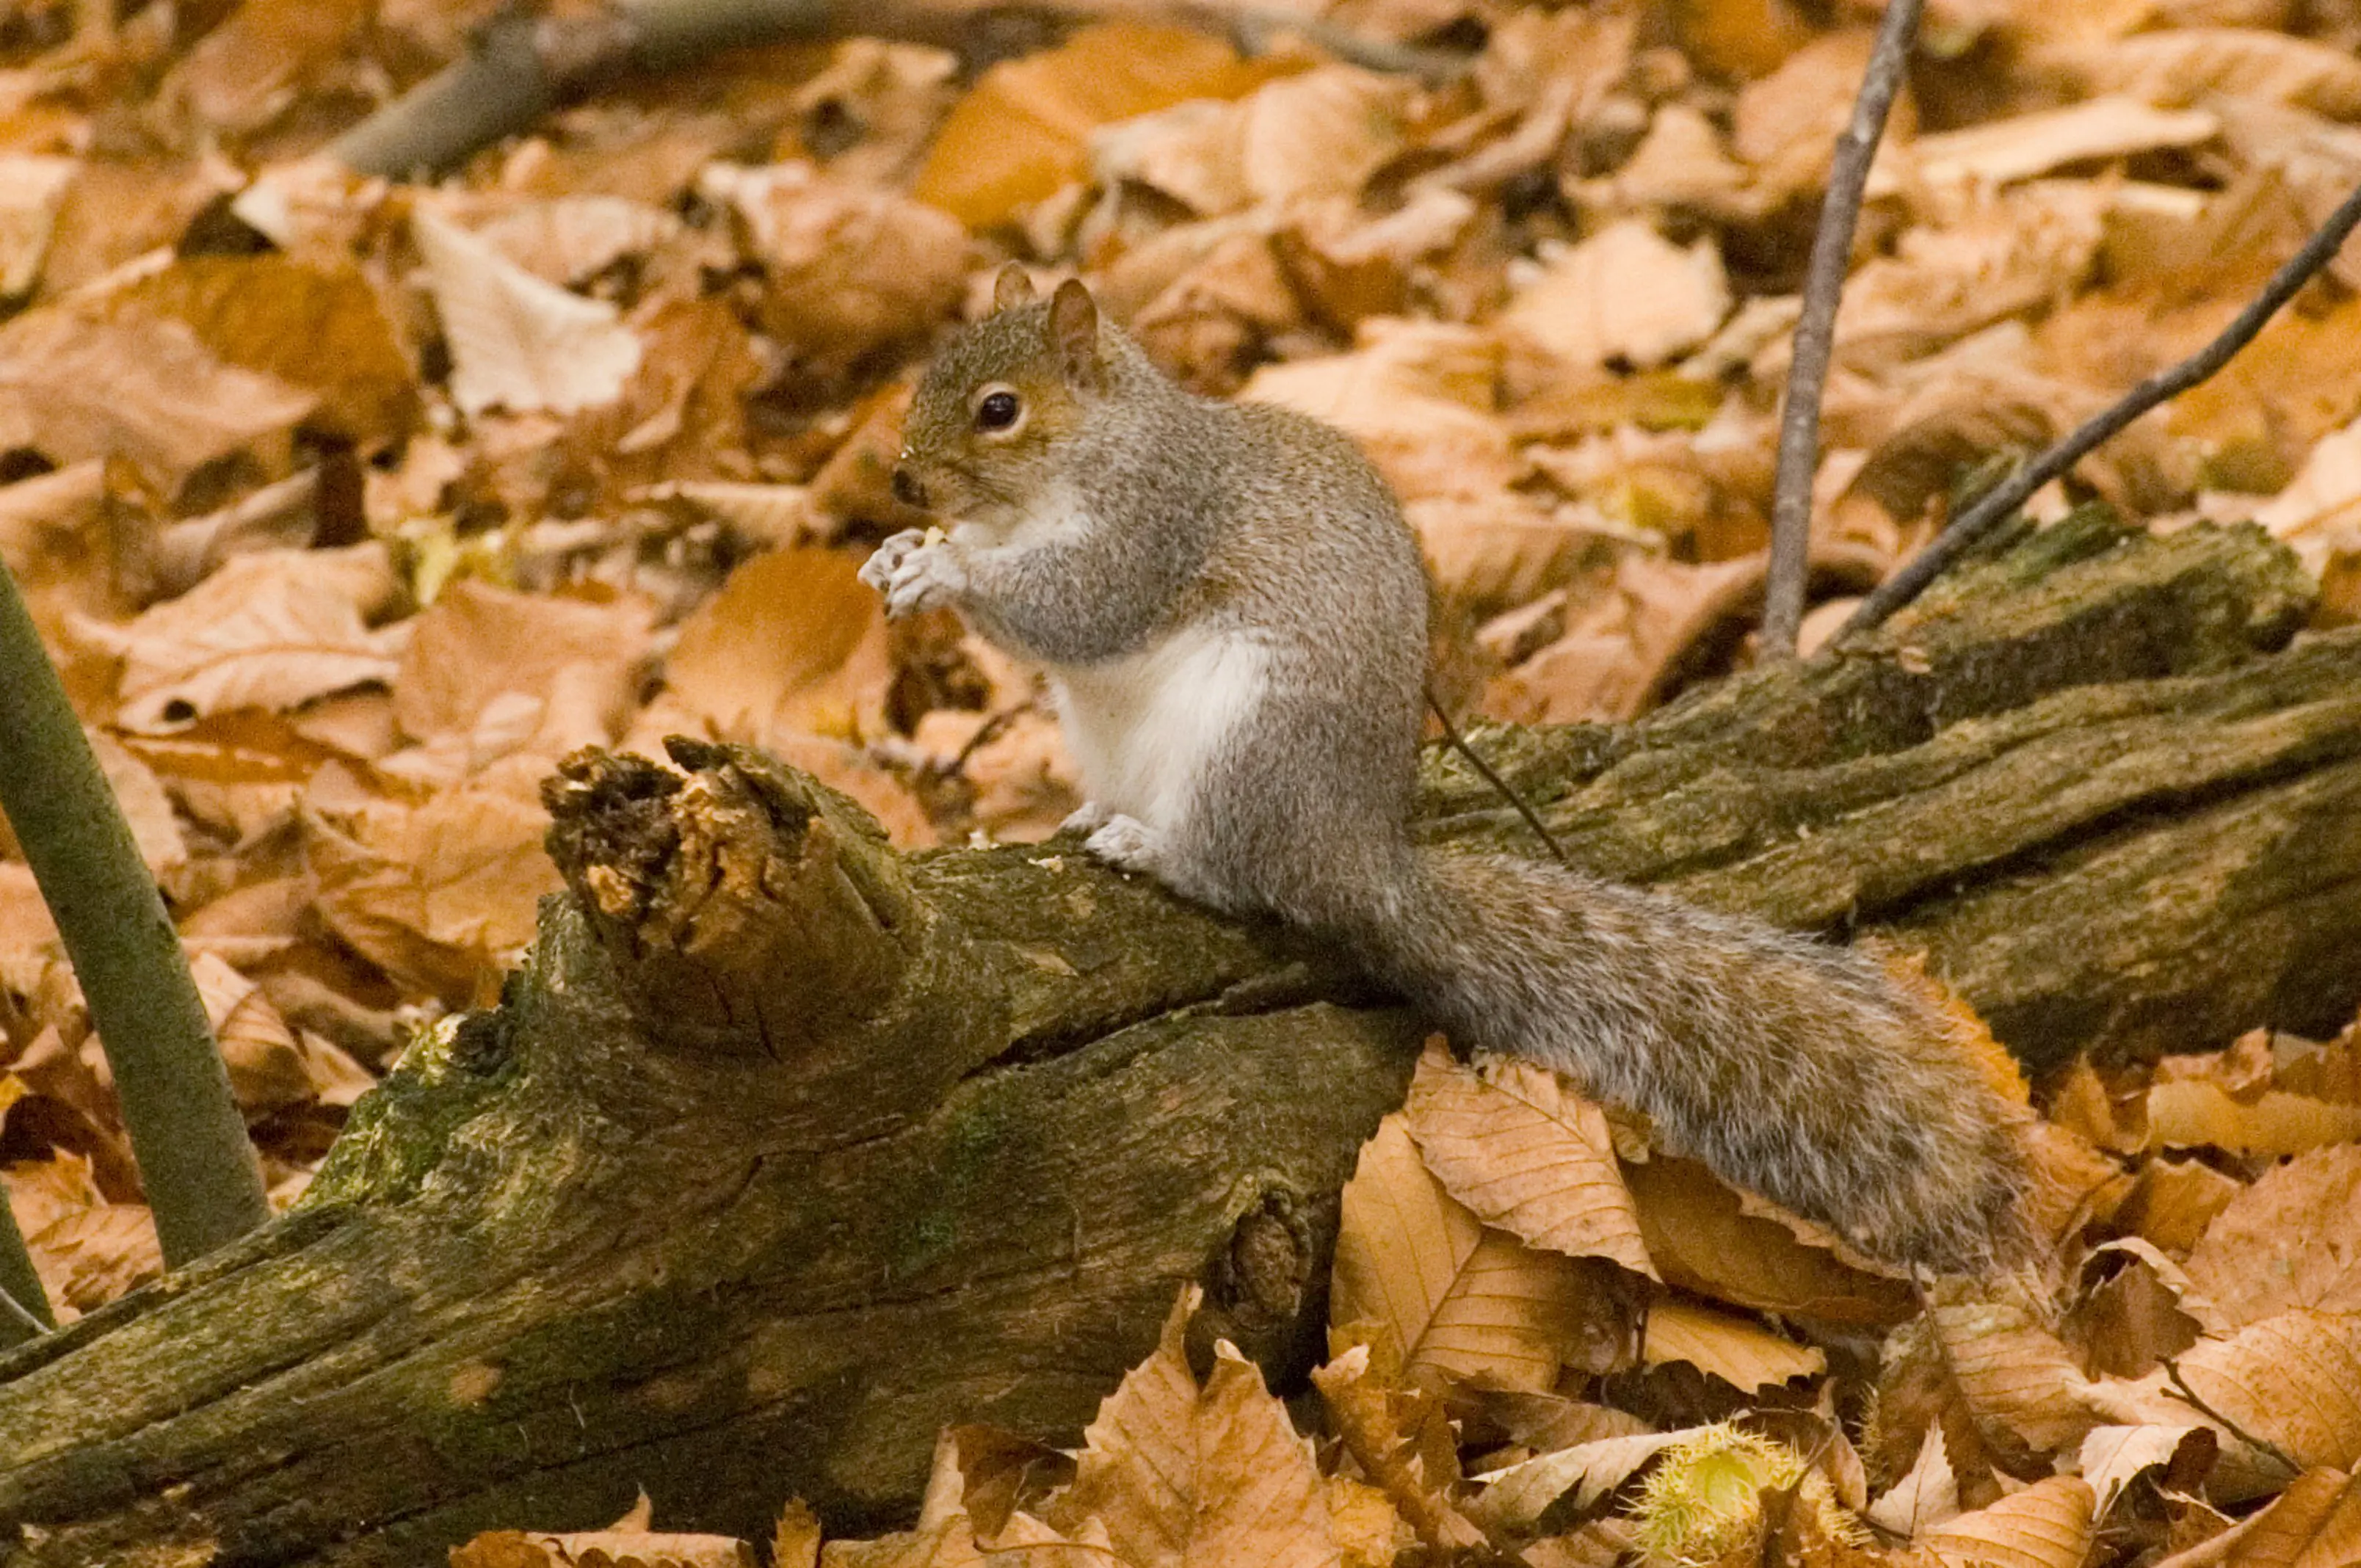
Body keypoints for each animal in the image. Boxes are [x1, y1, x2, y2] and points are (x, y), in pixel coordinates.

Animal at [868, 269, 2030, 1275]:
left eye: (999, 410)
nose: (902, 480)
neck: (1091, 456)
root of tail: (1364, 861)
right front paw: (904, 552)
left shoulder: (1153, 526)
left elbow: (1077, 606)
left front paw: (945, 569)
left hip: (1245, 750)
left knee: (1242, 876)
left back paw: (1151, 847)